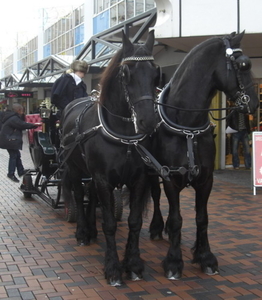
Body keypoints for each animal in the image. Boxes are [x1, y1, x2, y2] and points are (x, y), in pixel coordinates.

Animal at [60, 30, 160, 286]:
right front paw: (113, 268)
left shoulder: (139, 179)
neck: (123, 136)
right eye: (126, 73)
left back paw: (92, 231)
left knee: (92, 196)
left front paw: (133, 264)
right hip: (75, 169)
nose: (148, 121)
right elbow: (110, 224)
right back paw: (83, 232)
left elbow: (134, 221)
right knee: (78, 195)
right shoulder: (103, 179)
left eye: (156, 73)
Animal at [150, 31, 258, 280]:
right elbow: (177, 218)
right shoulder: (170, 179)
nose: (256, 103)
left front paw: (204, 255)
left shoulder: (206, 179)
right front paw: (173, 261)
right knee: (156, 197)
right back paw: (157, 227)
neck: (188, 126)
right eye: (244, 64)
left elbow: (202, 217)